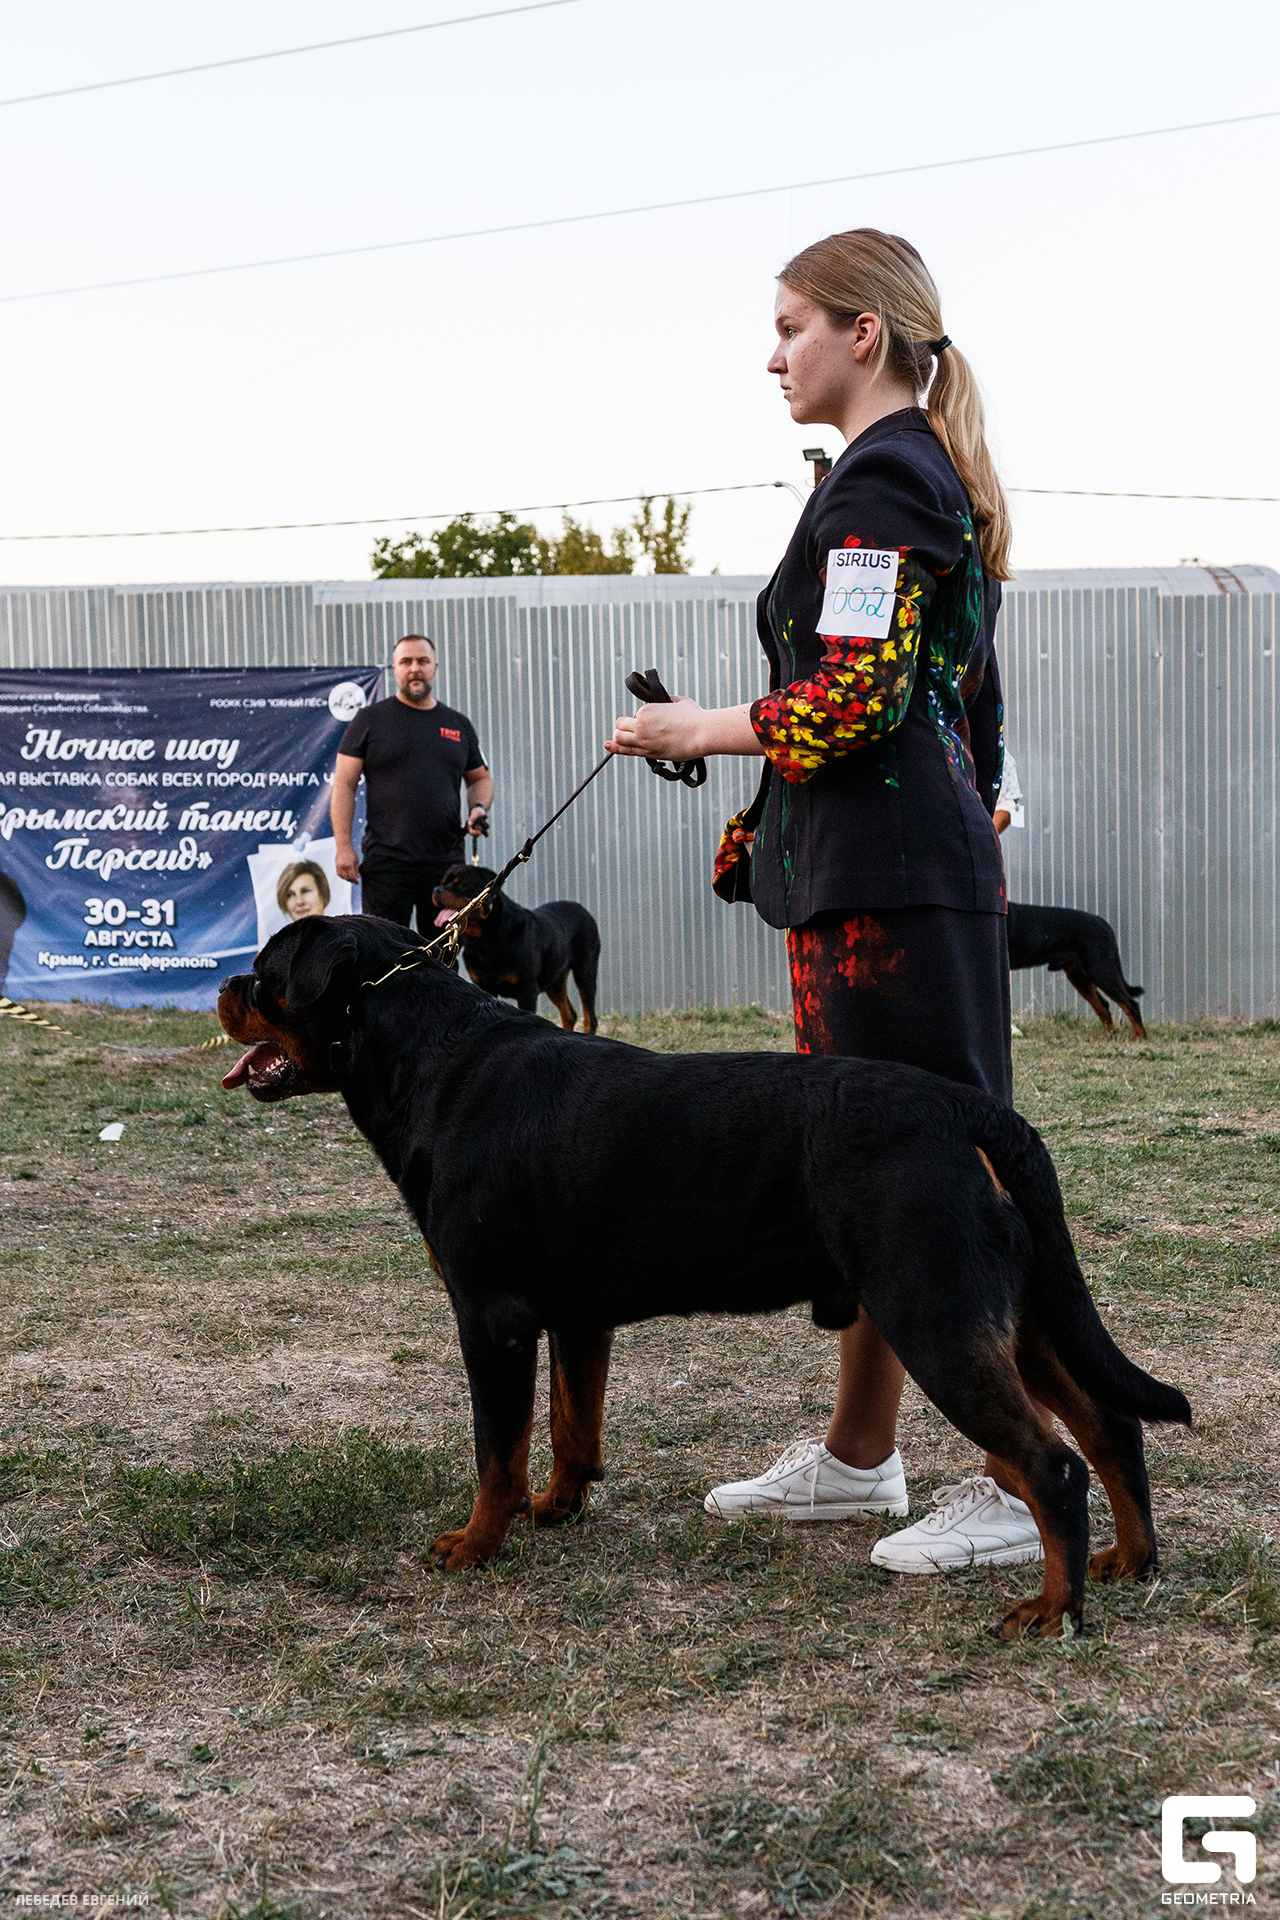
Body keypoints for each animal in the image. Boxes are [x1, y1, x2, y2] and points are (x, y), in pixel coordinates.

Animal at [432, 863, 600, 1034]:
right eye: (443, 882)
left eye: (461, 885)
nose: (436, 890)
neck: (485, 939)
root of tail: (581, 908)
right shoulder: (485, 986)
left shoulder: (527, 990)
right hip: (554, 978)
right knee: (569, 1014)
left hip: (585, 970)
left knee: (589, 1016)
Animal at [1007, 903, 1146, 1040]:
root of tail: (1100, 921)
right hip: (1079, 977)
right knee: (1103, 1005)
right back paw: (1107, 1035)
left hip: (1101, 971)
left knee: (1130, 1004)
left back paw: (1139, 1037)